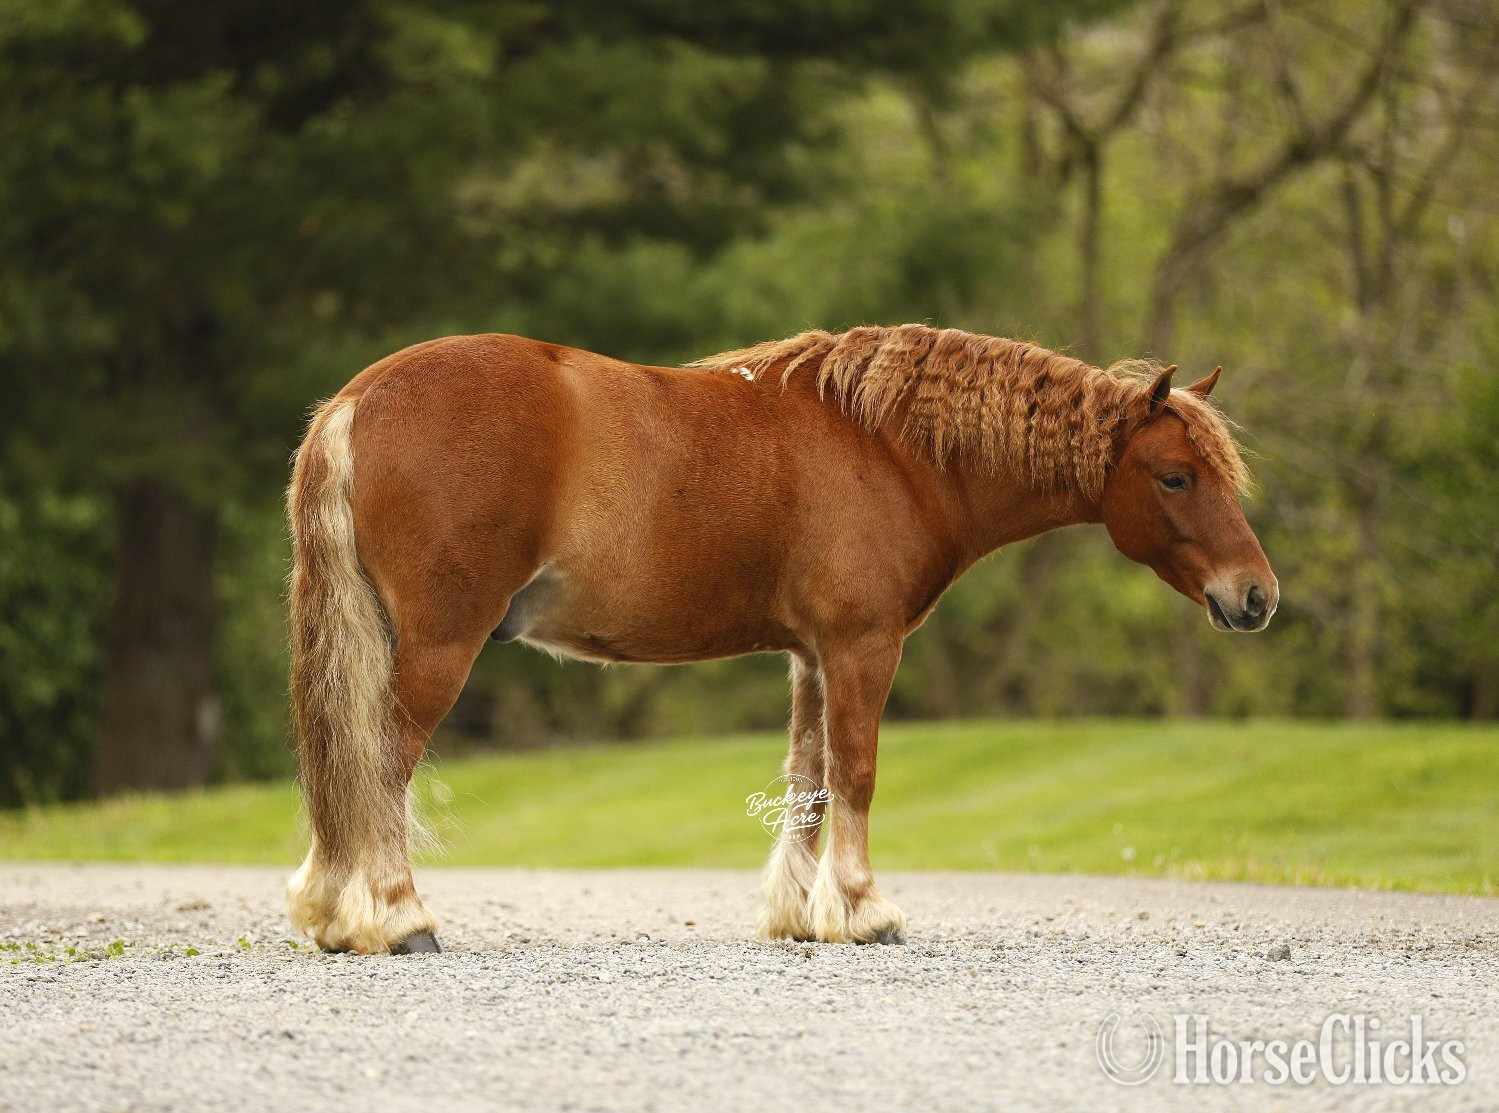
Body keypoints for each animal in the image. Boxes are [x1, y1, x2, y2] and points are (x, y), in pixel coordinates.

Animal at [284, 323, 1278, 954]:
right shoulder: (861, 645)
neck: (888, 446)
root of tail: (359, 397)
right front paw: (865, 910)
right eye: (1175, 475)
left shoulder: (810, 654)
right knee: (380, 763)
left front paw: (803, 913)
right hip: (439, 644)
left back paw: (335, 915)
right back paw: (398, 918)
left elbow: (809, 778)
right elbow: (858, 771)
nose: (1256, 596)